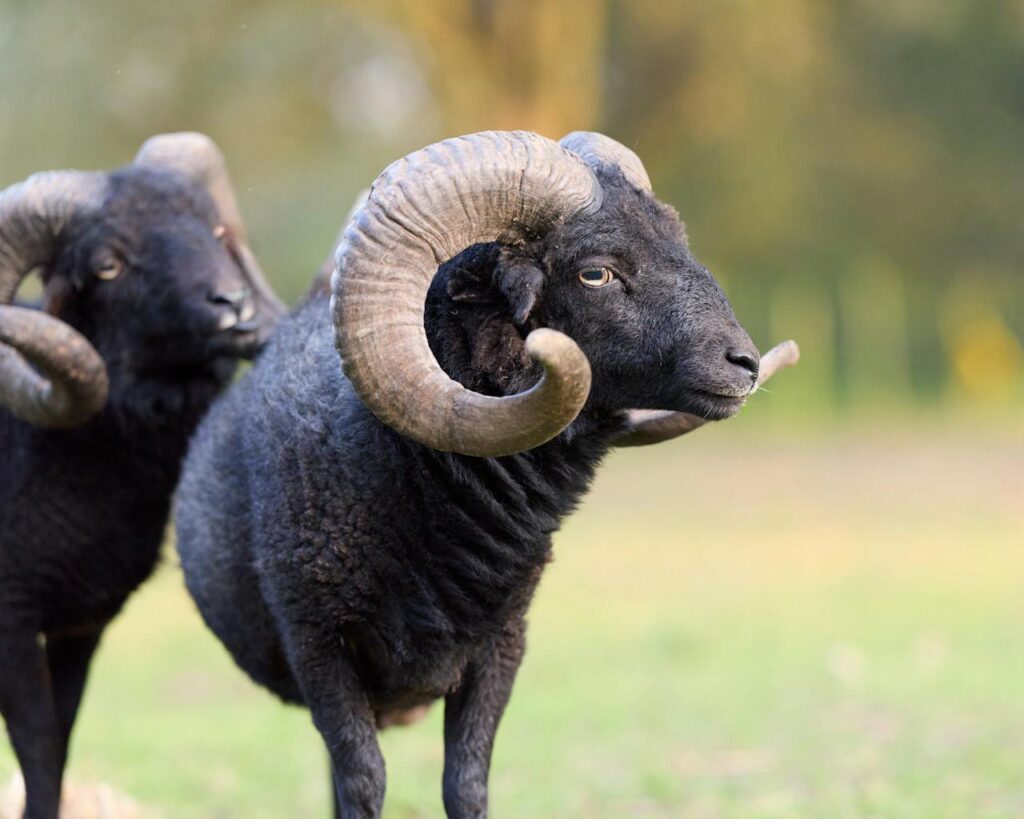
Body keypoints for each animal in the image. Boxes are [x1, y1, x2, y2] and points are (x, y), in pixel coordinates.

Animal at [0, 133, 284, 819]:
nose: (233, 306)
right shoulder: (10, 622)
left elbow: (60, 741)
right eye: (108, 265)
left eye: (215, 228)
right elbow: (39, 749)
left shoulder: (80, 626)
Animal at [175, 130, 798, 819]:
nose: (743, 363)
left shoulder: (501, 647)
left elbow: (467, 782)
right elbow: (363, 782)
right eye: (596, 271)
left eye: (675, 237)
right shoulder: (319, 650)